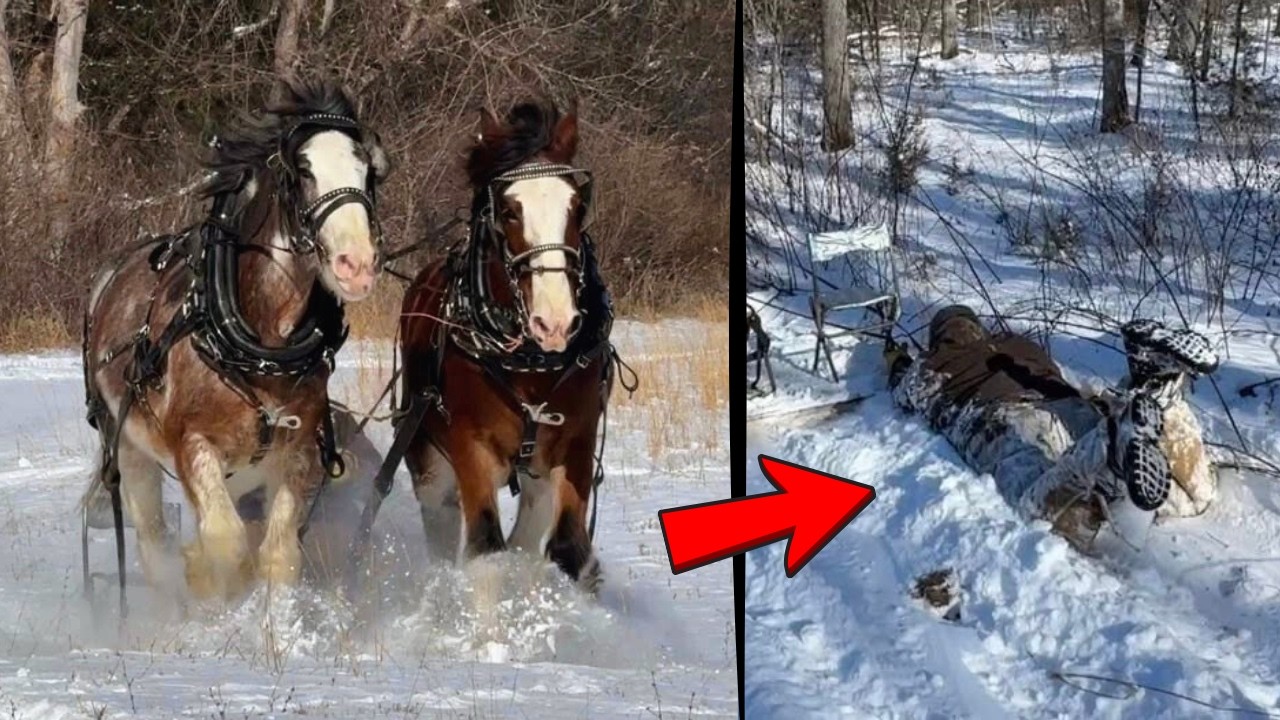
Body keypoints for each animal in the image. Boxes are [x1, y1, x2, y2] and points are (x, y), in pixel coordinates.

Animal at [82, 79, 389, 607]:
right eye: (302, 170)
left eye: (366, 170)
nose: (356, 264)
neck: (259, 345)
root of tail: (110, 275)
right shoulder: (192, 445)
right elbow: (224, 542)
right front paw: (214, 595)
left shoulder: (296, 451)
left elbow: (279, 555)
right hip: (130, 451)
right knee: (152, 541)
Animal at [387, 102, 626, 594]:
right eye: (510, 211)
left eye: (577, 206)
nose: (555, 321)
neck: (526, 360)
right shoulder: (470, 448)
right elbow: (486, 552)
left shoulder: (576, 442)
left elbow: (568, 550)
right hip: (428, 460)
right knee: (442, 520)